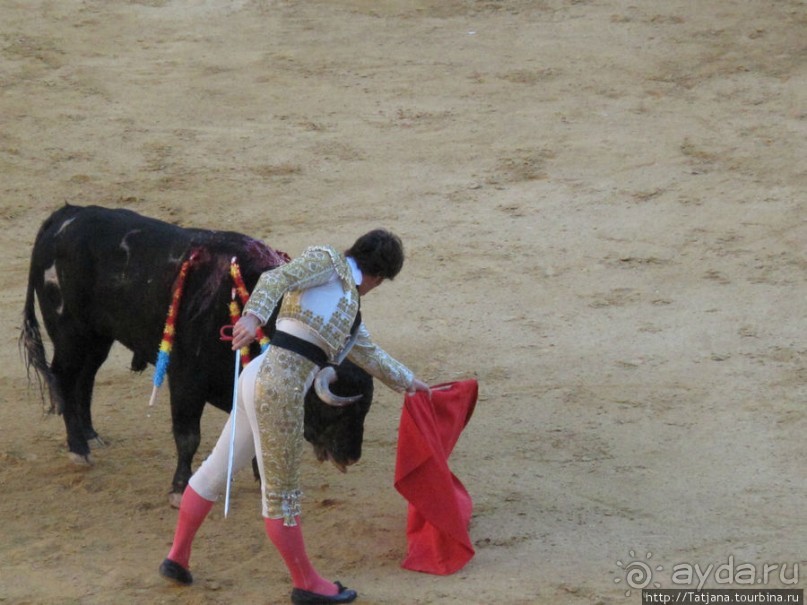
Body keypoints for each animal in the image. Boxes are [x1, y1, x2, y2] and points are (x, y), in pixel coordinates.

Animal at [21, 205, 376, 502]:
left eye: (364, 412)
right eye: (337, 412)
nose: (352, 456)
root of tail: (65, 216)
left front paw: (261, 478)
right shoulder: (185, 380)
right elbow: (188, 435)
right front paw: (180, 489)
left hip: (97, 337)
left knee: (86, 378)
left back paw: (92, 436)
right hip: (69, 332)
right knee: (65, 379)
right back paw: (78, 449)